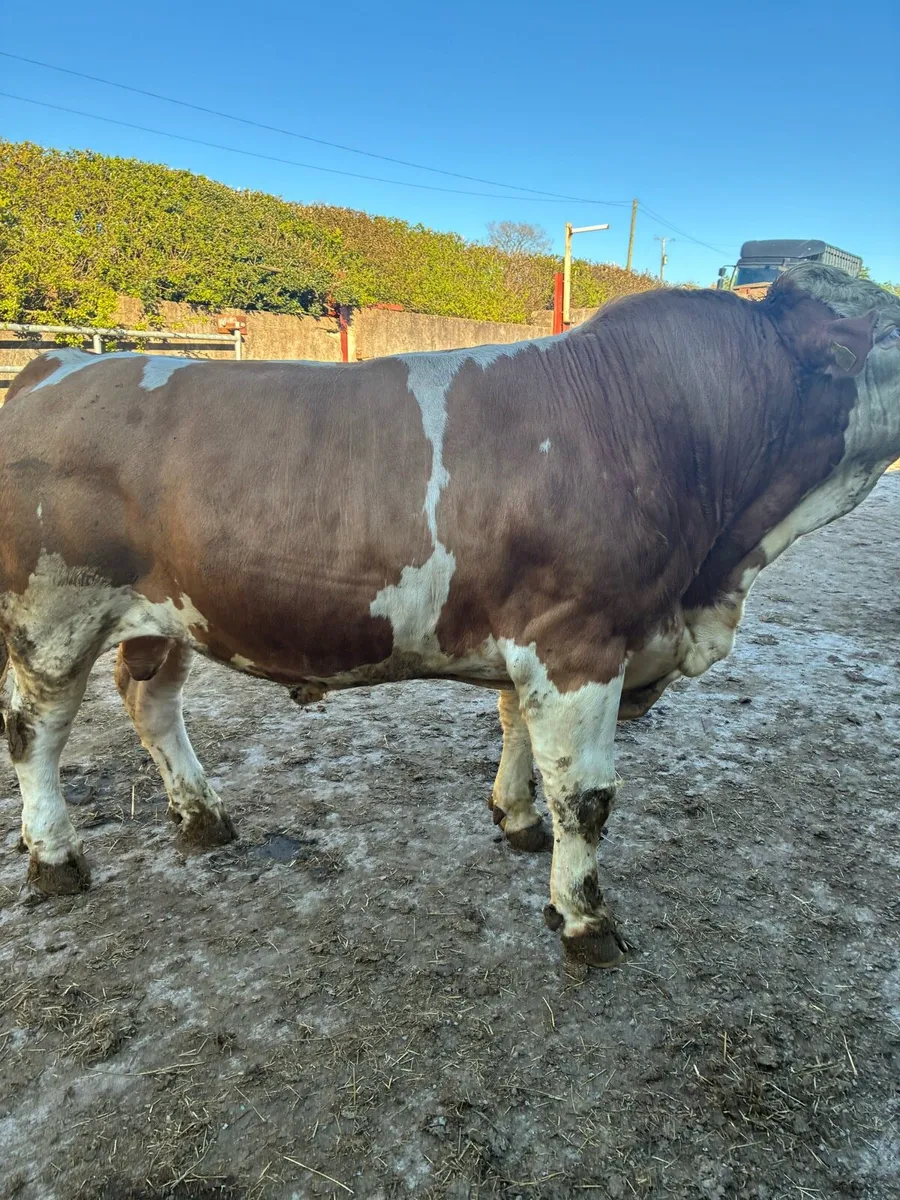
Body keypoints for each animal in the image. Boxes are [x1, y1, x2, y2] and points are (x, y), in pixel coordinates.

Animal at [1, 264, 898, 969]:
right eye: (887, 329)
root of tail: (53, 364)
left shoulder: (534, 637)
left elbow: (515, 731)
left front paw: (517, 818)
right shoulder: (579, 641)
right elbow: (587, 796)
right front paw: (584, 917)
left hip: (167, 615)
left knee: (150, 701)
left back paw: (202, 815)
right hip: (52, 616)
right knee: (33, 732)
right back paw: (57, 856)